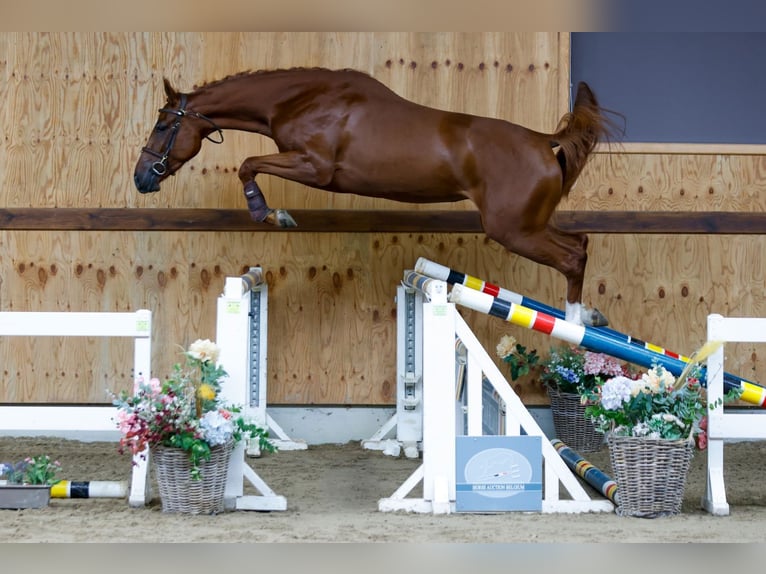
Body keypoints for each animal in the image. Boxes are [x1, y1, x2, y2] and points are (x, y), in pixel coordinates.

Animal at [135, 67, 620, 326]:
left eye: (163, 124)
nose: (142, 178)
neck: (301, 99)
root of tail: (544, 141)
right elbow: (250, 163)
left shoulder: (315, 167)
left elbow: (248, 164)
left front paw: (270, 214)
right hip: (531, 223)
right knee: (580, 243)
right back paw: (589, 318)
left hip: (513, 228)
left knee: (573, 256)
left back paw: (575, 323)